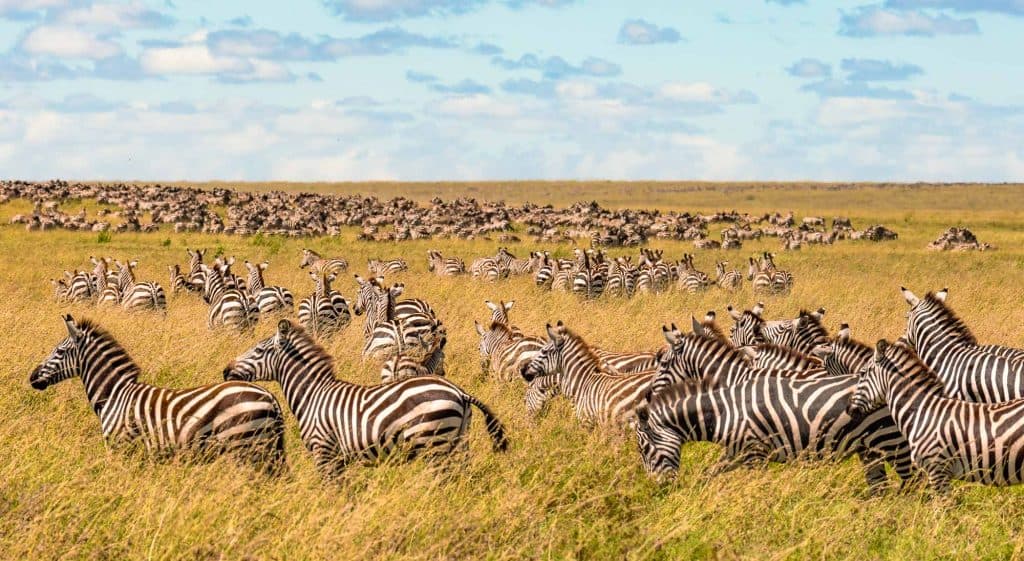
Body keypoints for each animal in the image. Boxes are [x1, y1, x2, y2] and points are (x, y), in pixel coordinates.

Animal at [30, 315, 285, 473]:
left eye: (59, 352)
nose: (32, 377)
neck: (114, 394)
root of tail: (269, 397)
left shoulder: (121, 448)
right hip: (264, 451)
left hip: (244, 448)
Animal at [223, 319, 508, 478]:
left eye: (258, 350)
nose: (226, 371)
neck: (312, 395)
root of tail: (459, 391)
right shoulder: (338, 457)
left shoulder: (323, 450)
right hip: (458, 442)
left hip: (434, 444)